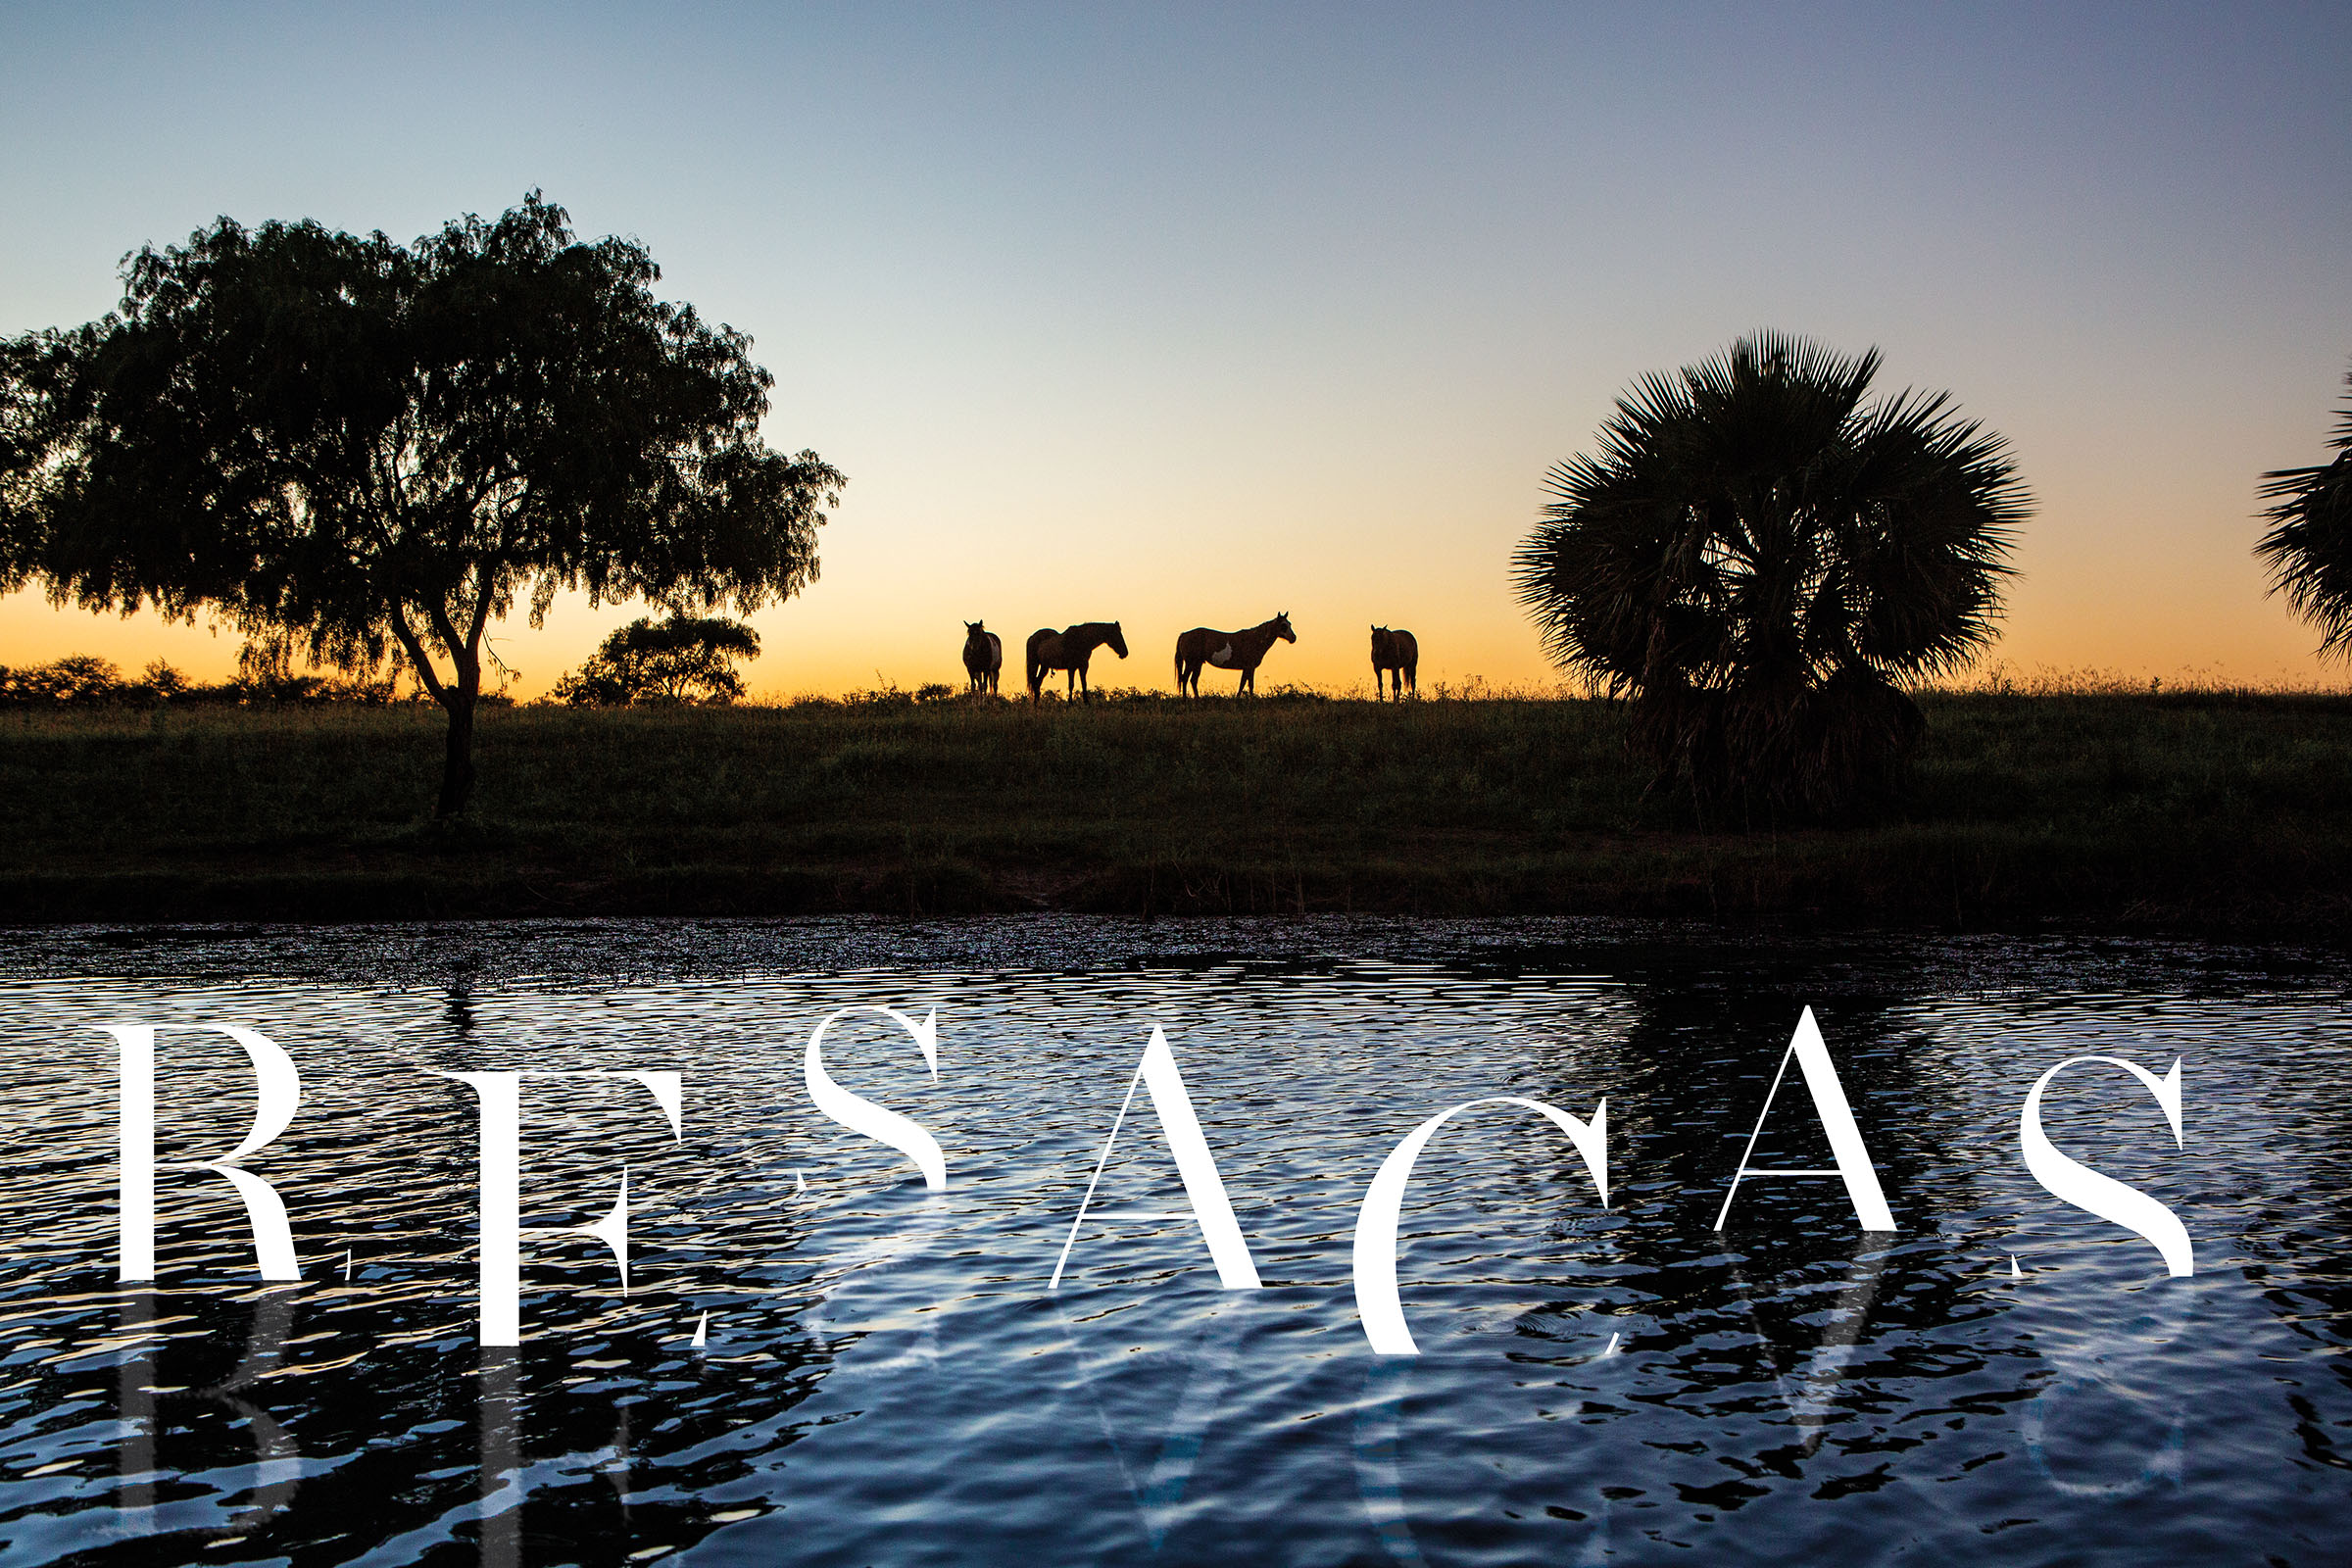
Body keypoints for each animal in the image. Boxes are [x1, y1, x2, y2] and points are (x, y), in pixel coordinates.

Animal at [1176, 611, 1307, 696]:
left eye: (1290, 624)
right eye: (1283, 625)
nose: (1293, 638)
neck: (1254, 640)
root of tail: (1184, 634)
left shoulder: (1247, 668)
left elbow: (1244, 684)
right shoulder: (1249, 667)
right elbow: (1248, 684)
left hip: (1198, 664)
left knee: (1193, 681)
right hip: (1190, 663)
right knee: (1185, 679)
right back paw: (1185, 700)